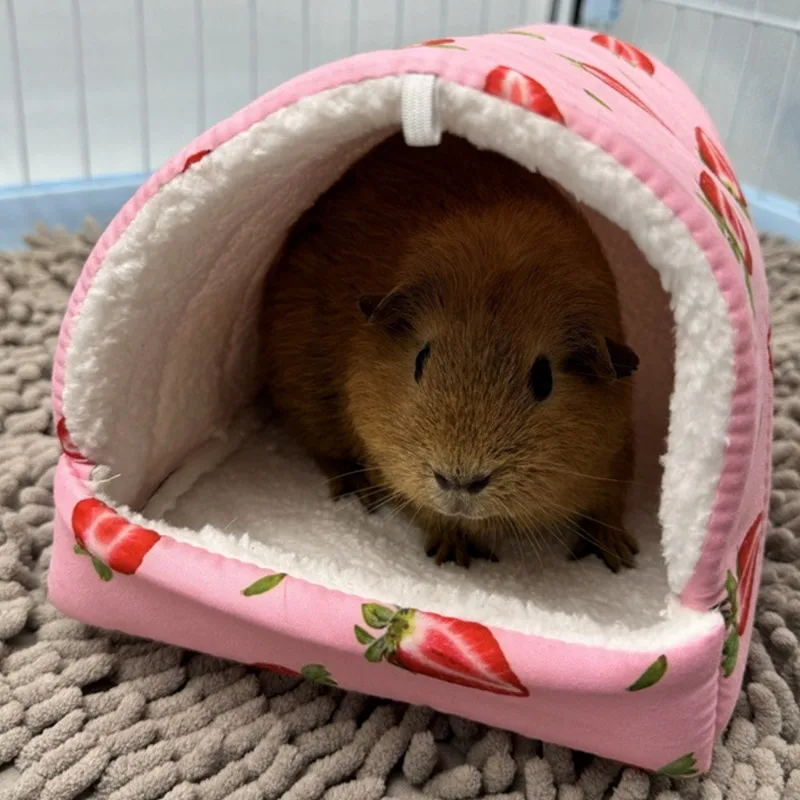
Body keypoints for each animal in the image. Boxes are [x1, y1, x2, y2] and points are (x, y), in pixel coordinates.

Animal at [261, 133, 639, 571]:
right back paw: (360, 494)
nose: (459, 481)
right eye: (420, 359)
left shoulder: (618, 452)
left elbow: (609, 506)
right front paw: (453, 555)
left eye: (544, 380)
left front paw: (620, 558)